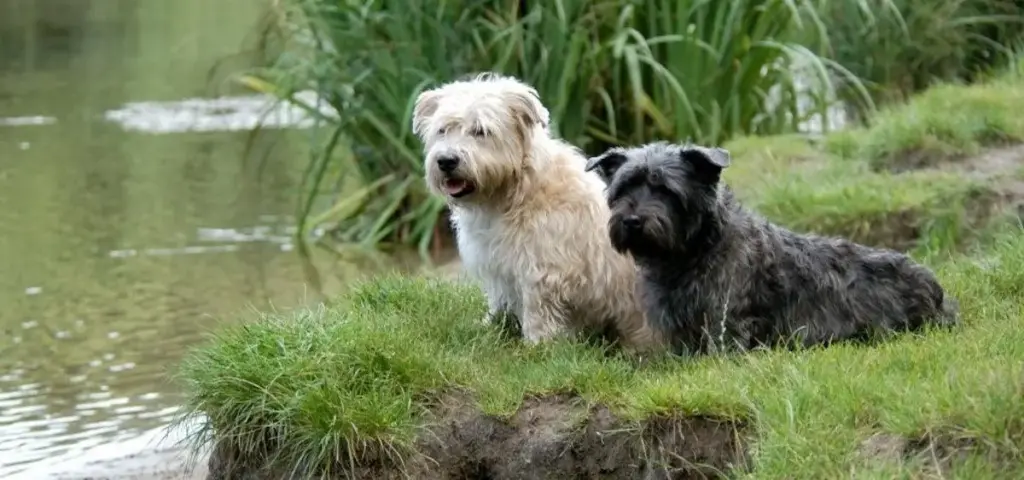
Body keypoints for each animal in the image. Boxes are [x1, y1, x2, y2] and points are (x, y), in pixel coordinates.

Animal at [407, 72, 655, 352]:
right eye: (443, 130)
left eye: (481, 131)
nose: (447, 161)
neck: (516, 191)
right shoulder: (500, 266)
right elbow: (499, 300)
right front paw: (490, 326)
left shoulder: (543, 270)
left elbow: (538, 310)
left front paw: (537, 345)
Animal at [585, 140, 958, 354]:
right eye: (624, 188)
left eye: (665, 190)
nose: (632, 221)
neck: (694, 251)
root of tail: (938, 293)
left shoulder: (727, 323)